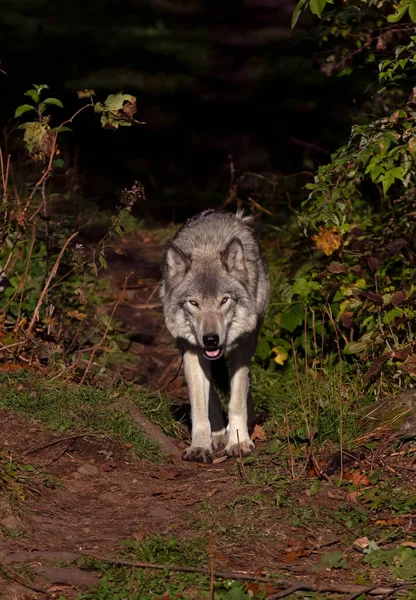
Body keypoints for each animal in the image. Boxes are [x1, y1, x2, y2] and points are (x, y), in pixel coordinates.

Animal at [159, 211, 270, 464]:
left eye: (224, 300)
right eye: (194, 302)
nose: (211, 339)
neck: (207, 245)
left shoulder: (242, 347)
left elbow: (237, 398)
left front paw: (238, 441)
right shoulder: (191, 348)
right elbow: (200, 406)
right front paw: (200, 445)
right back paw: (217, 433)